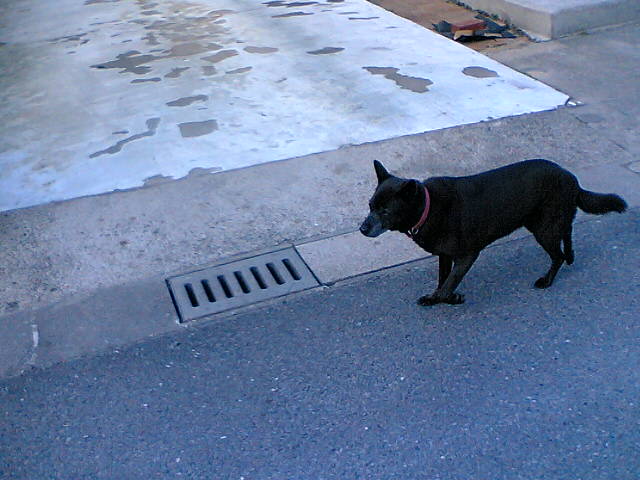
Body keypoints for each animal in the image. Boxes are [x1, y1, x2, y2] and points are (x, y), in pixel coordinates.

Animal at [360, 159, 627, 305]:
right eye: (370, 206)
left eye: (385, 211)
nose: (362, 228)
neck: (429, 206)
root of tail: (572, 178)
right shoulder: (444, 255)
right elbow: (442, 279)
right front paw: (433, 298)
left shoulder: (467, 255)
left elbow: (449, 284)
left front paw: (451, 298)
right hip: (549, 221)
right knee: (567, 232)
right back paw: (571, 257)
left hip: (543, 229)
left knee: (557, 254)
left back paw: (547, 280)